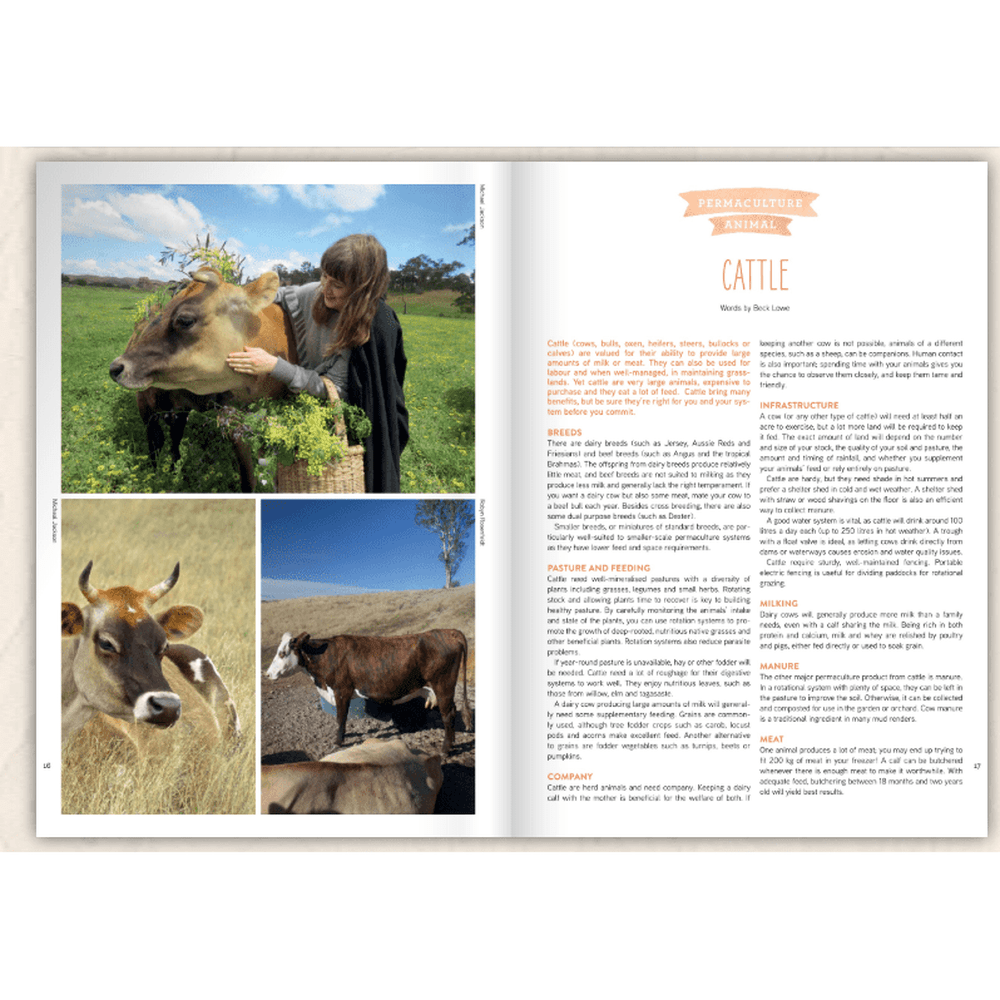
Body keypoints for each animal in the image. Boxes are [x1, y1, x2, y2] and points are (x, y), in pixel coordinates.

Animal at [109, 268, 296, 491]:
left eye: (185, 320)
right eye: (161, 316)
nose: (116, 367)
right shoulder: (234, 421)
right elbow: (247, 478)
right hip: (147, 405)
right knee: (157, 443)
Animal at [266, 629, 471, 755]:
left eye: (282, 653)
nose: (267, 674)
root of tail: (447, 632)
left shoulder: (341, 690)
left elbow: (341, 718)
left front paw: (338, 741)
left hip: (443, 686)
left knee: (448, 715)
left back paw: (446, 749)